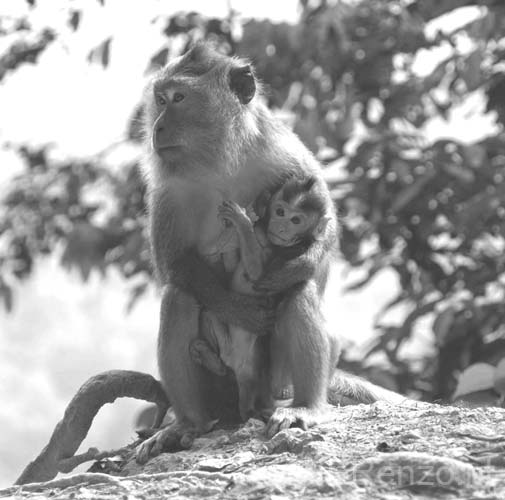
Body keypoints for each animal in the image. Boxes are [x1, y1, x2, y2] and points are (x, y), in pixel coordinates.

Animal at [190, 174, 330, 420]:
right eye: (280, 211)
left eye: (296, 220)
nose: (281, 228)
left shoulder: (287, 253)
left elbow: (257, 274)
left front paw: (241, 221)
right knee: (210, 315)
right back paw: (211, 358)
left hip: (255, 364)